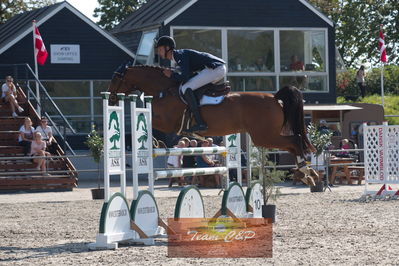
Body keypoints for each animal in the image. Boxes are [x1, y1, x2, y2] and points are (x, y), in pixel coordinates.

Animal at [108, 64, 318, 185]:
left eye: (116, 78)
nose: (110, 99)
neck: (164, 89)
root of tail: (274, 98)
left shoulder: (167, 122)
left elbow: (150, 123)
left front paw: (154, 143)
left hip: (264, 136)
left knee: (295, 140)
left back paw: (305, 171)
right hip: (265, 136)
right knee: (293, 143)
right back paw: (305, 173)